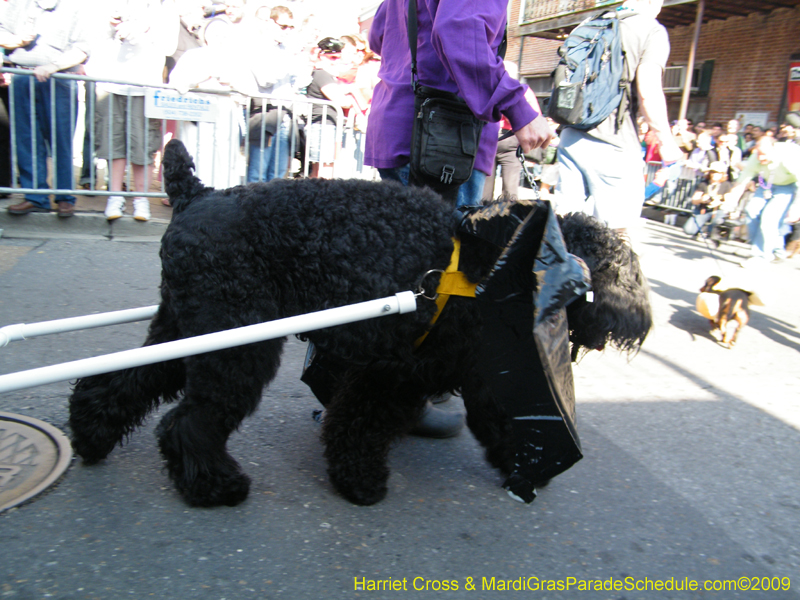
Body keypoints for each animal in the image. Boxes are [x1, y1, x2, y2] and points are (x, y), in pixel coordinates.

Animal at [69, 139, 652, 506]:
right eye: (622, 272)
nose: (638, 322)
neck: (501, 263)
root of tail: (196, 195)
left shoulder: (437, 372)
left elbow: (497, 421)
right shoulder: (400, 374)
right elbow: (362, 424)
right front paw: (360, 482)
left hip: (183, 331)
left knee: (122, 383)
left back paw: (90, 435)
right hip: (233, 346)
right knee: (187, 422)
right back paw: (213, 486)